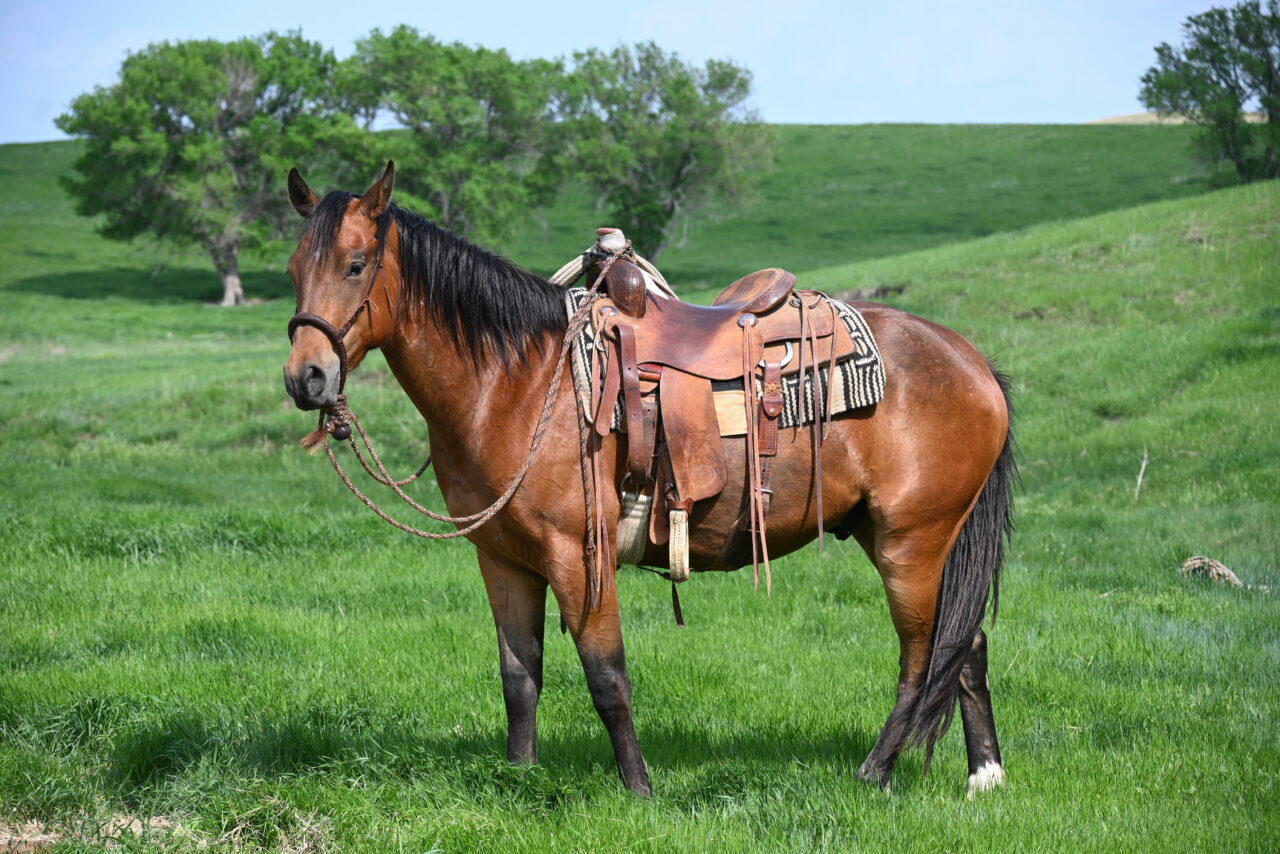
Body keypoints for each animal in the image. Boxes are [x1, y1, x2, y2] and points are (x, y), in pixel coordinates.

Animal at [281, 162, 1016, 797]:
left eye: (355, 265)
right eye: (293, 269)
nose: (305, 377)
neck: (516, 383)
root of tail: (974, 362)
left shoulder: (579, 554)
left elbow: (607, 677)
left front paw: (638, 789)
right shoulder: (502, 558)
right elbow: (519, 675)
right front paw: (519, 777)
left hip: (910, 543)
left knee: (924, 655)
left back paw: (875, 773)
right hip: (901, 538)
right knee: (967, 643)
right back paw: (984, 775)